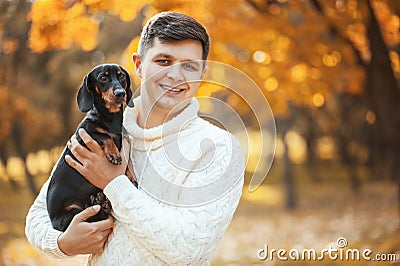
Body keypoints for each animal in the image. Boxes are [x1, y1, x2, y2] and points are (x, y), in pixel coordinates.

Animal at [46, 64, 132, 231]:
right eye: (103, 78)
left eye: (122, 76)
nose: (120, 93)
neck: (111, 119)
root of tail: (53, 222)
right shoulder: (84, 133)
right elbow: (104, 136)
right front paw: (114, 154)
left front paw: (131, 174)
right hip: (72, 216)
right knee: (94, 216)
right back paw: (100, 203)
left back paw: (100, 200)